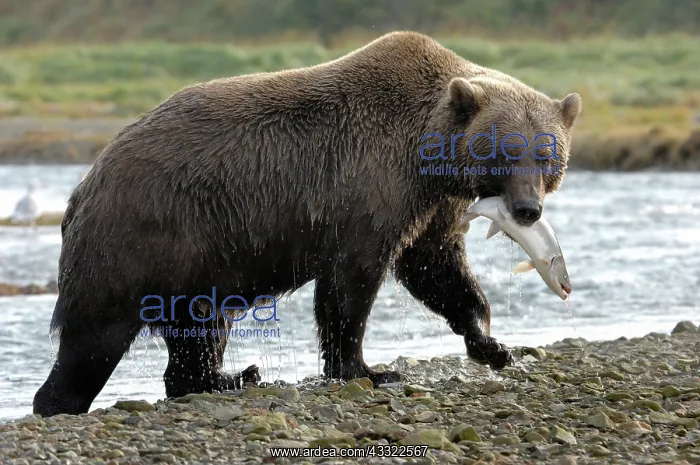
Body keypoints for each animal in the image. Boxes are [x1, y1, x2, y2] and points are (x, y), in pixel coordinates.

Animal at [33, 31, 581, 417]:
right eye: (504, 150)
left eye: (547, 154)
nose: (527, 209)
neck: (426, 158)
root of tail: (85, 184)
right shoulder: (367, 188)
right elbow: (351, 283)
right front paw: (368, 369)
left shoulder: (430, 207)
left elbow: (437, 269)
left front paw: (494, 344)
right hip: (139, 239)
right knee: (93, 337)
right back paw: (57, 402)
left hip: (200, 262)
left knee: (200, 331)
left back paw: (232, 377)